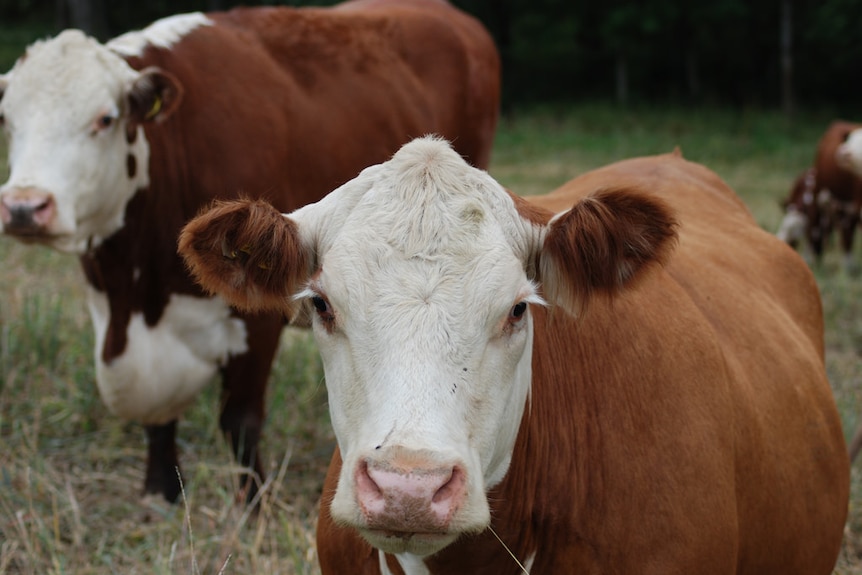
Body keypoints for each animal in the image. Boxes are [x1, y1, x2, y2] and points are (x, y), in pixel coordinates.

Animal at [0, 0, 500, 504]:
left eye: (104, 119)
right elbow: (158, 419)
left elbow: (239, 420)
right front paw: (161, 490)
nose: (24, 207)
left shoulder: (258, 313)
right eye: (7, 120)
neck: (139, 295)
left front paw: (252, 503)